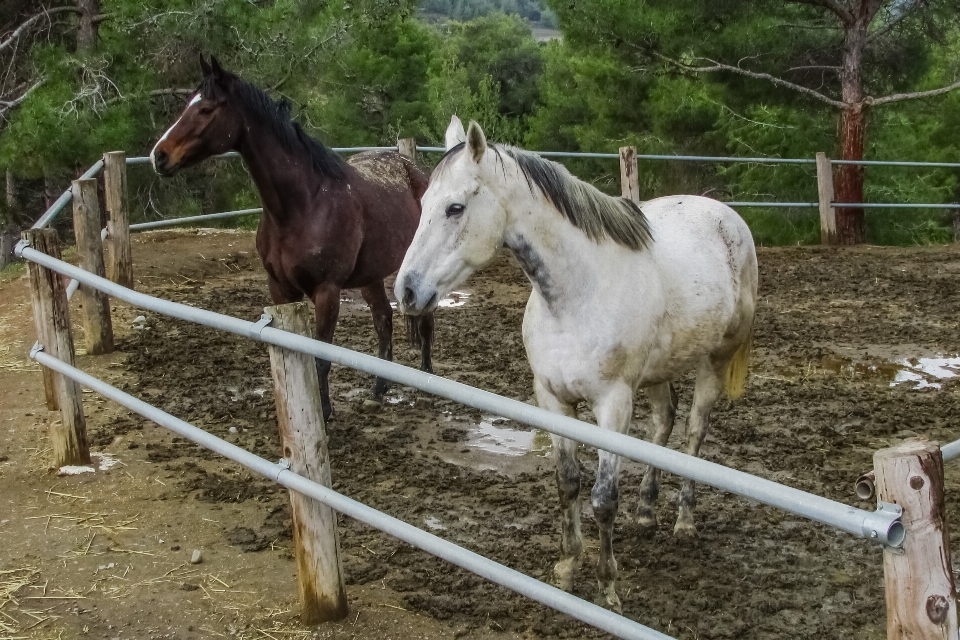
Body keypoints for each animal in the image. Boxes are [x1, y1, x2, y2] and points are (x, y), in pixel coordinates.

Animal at [151, 57, 436, 420]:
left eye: (206, 109)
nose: (159, 156)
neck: (303, 204)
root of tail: (414, 169)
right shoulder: (280, 289)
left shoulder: (327, 292)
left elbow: (321, 357)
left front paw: (325, 413)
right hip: (370, 275)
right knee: (383, 319)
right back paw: (378, 390)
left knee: (424, 320)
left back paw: (427, 378)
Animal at [396, 117, 756, 612]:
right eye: (422, 204)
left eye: (454, 208)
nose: (406, 291)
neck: (578, 295)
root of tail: (725, 215)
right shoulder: (553, 398)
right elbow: (567, 482)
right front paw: (567, 567)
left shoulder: (612, 406)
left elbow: (603, 498)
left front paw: (608, 587)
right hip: (659, 370)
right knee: (663, 422)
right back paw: (646, 512)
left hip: (715, 360)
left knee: (694, 432)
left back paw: (684, 522)